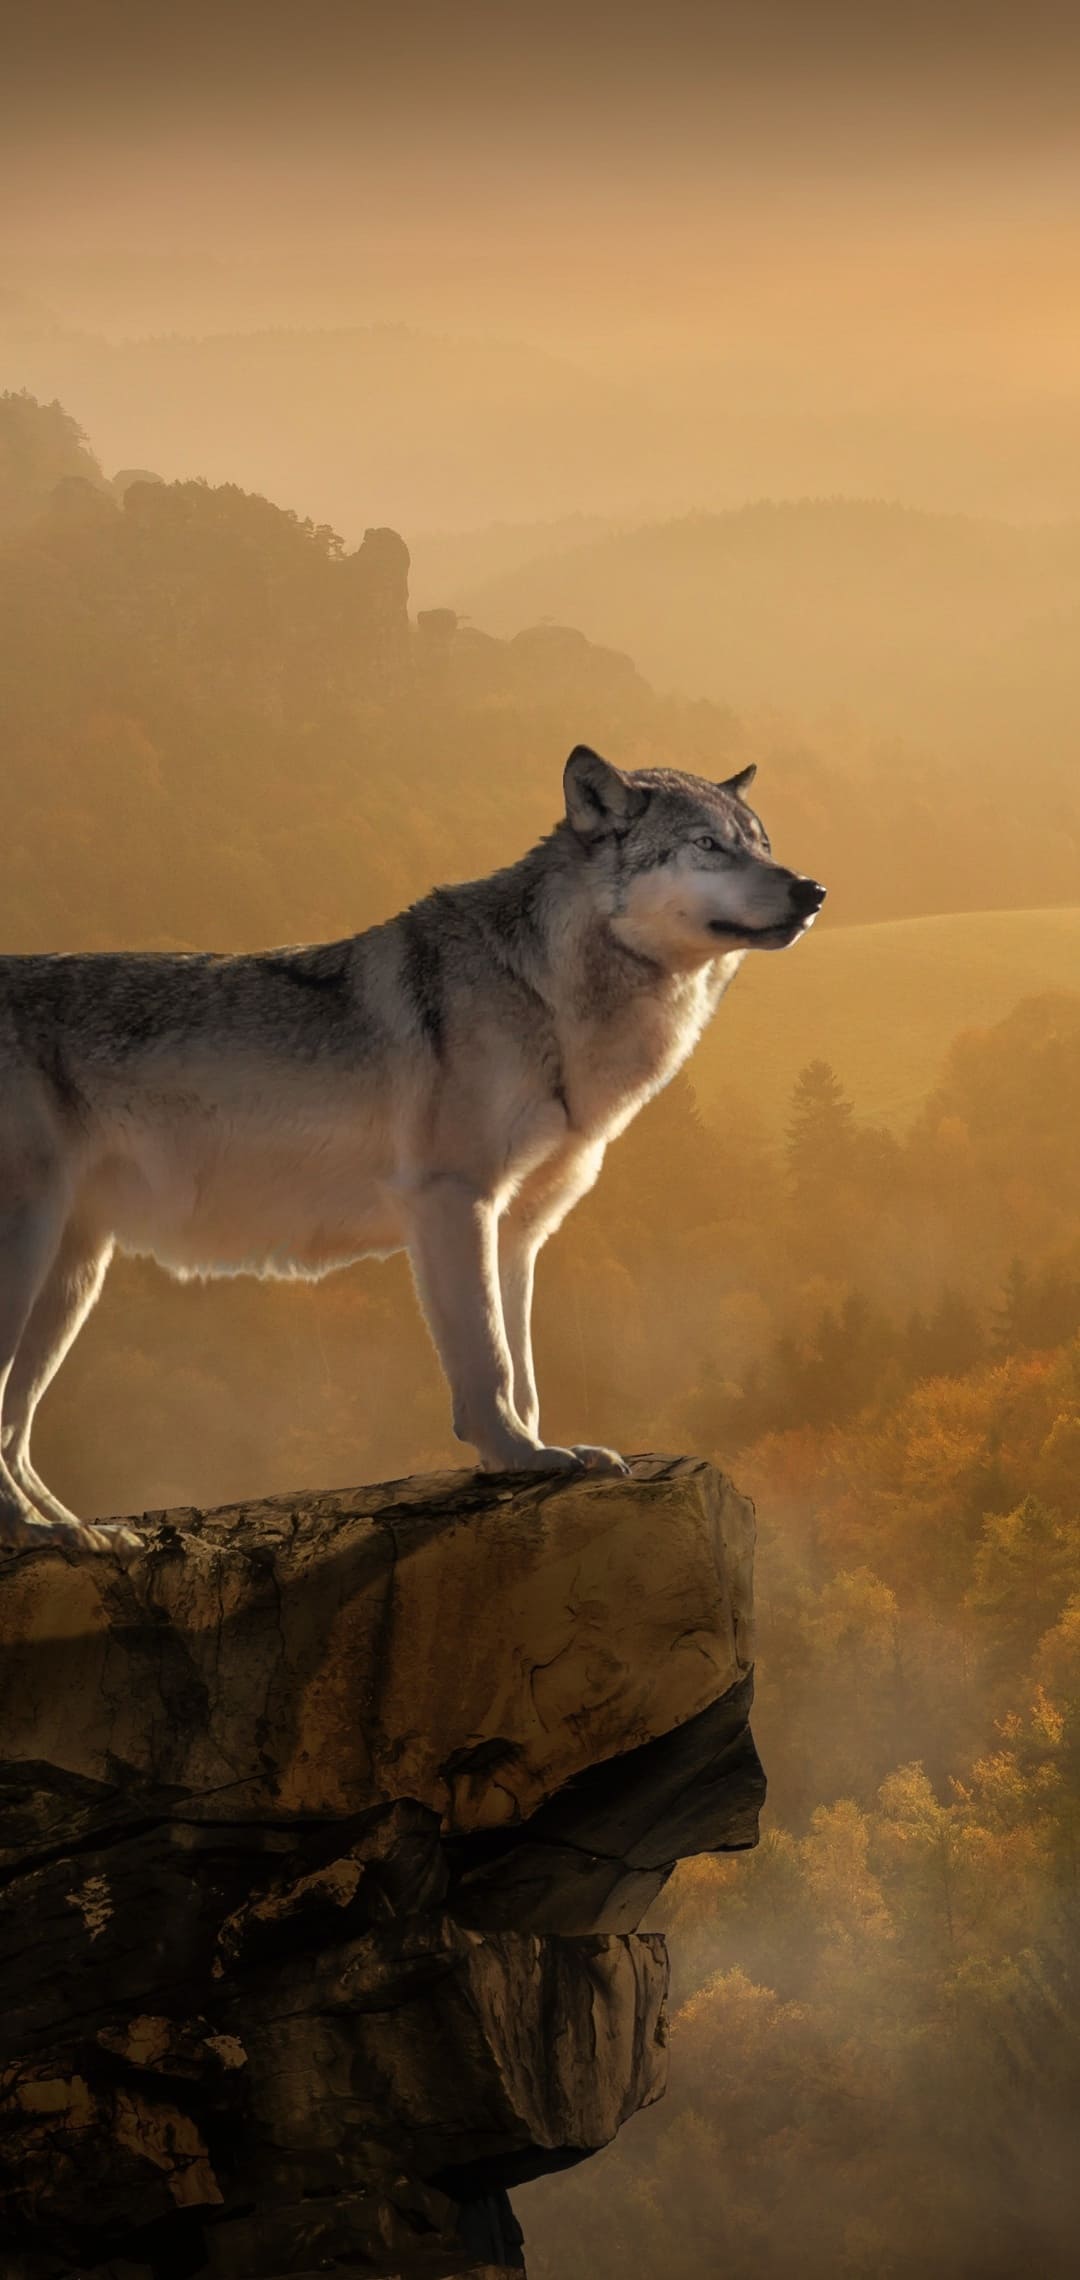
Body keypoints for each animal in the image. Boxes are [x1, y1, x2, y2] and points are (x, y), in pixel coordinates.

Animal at [0, 748, 824, 1552]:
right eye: (707, 845)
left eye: (762, 843)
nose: (812, 889)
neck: (545, 993)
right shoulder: (452, 1202)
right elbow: (489, 1360)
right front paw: (518, 1455)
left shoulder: (519, 1232)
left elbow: (525, 1370)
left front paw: (539, 1451)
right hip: (33, 1259)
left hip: (71, 1280)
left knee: (14, 1429)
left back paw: (72, 1532)